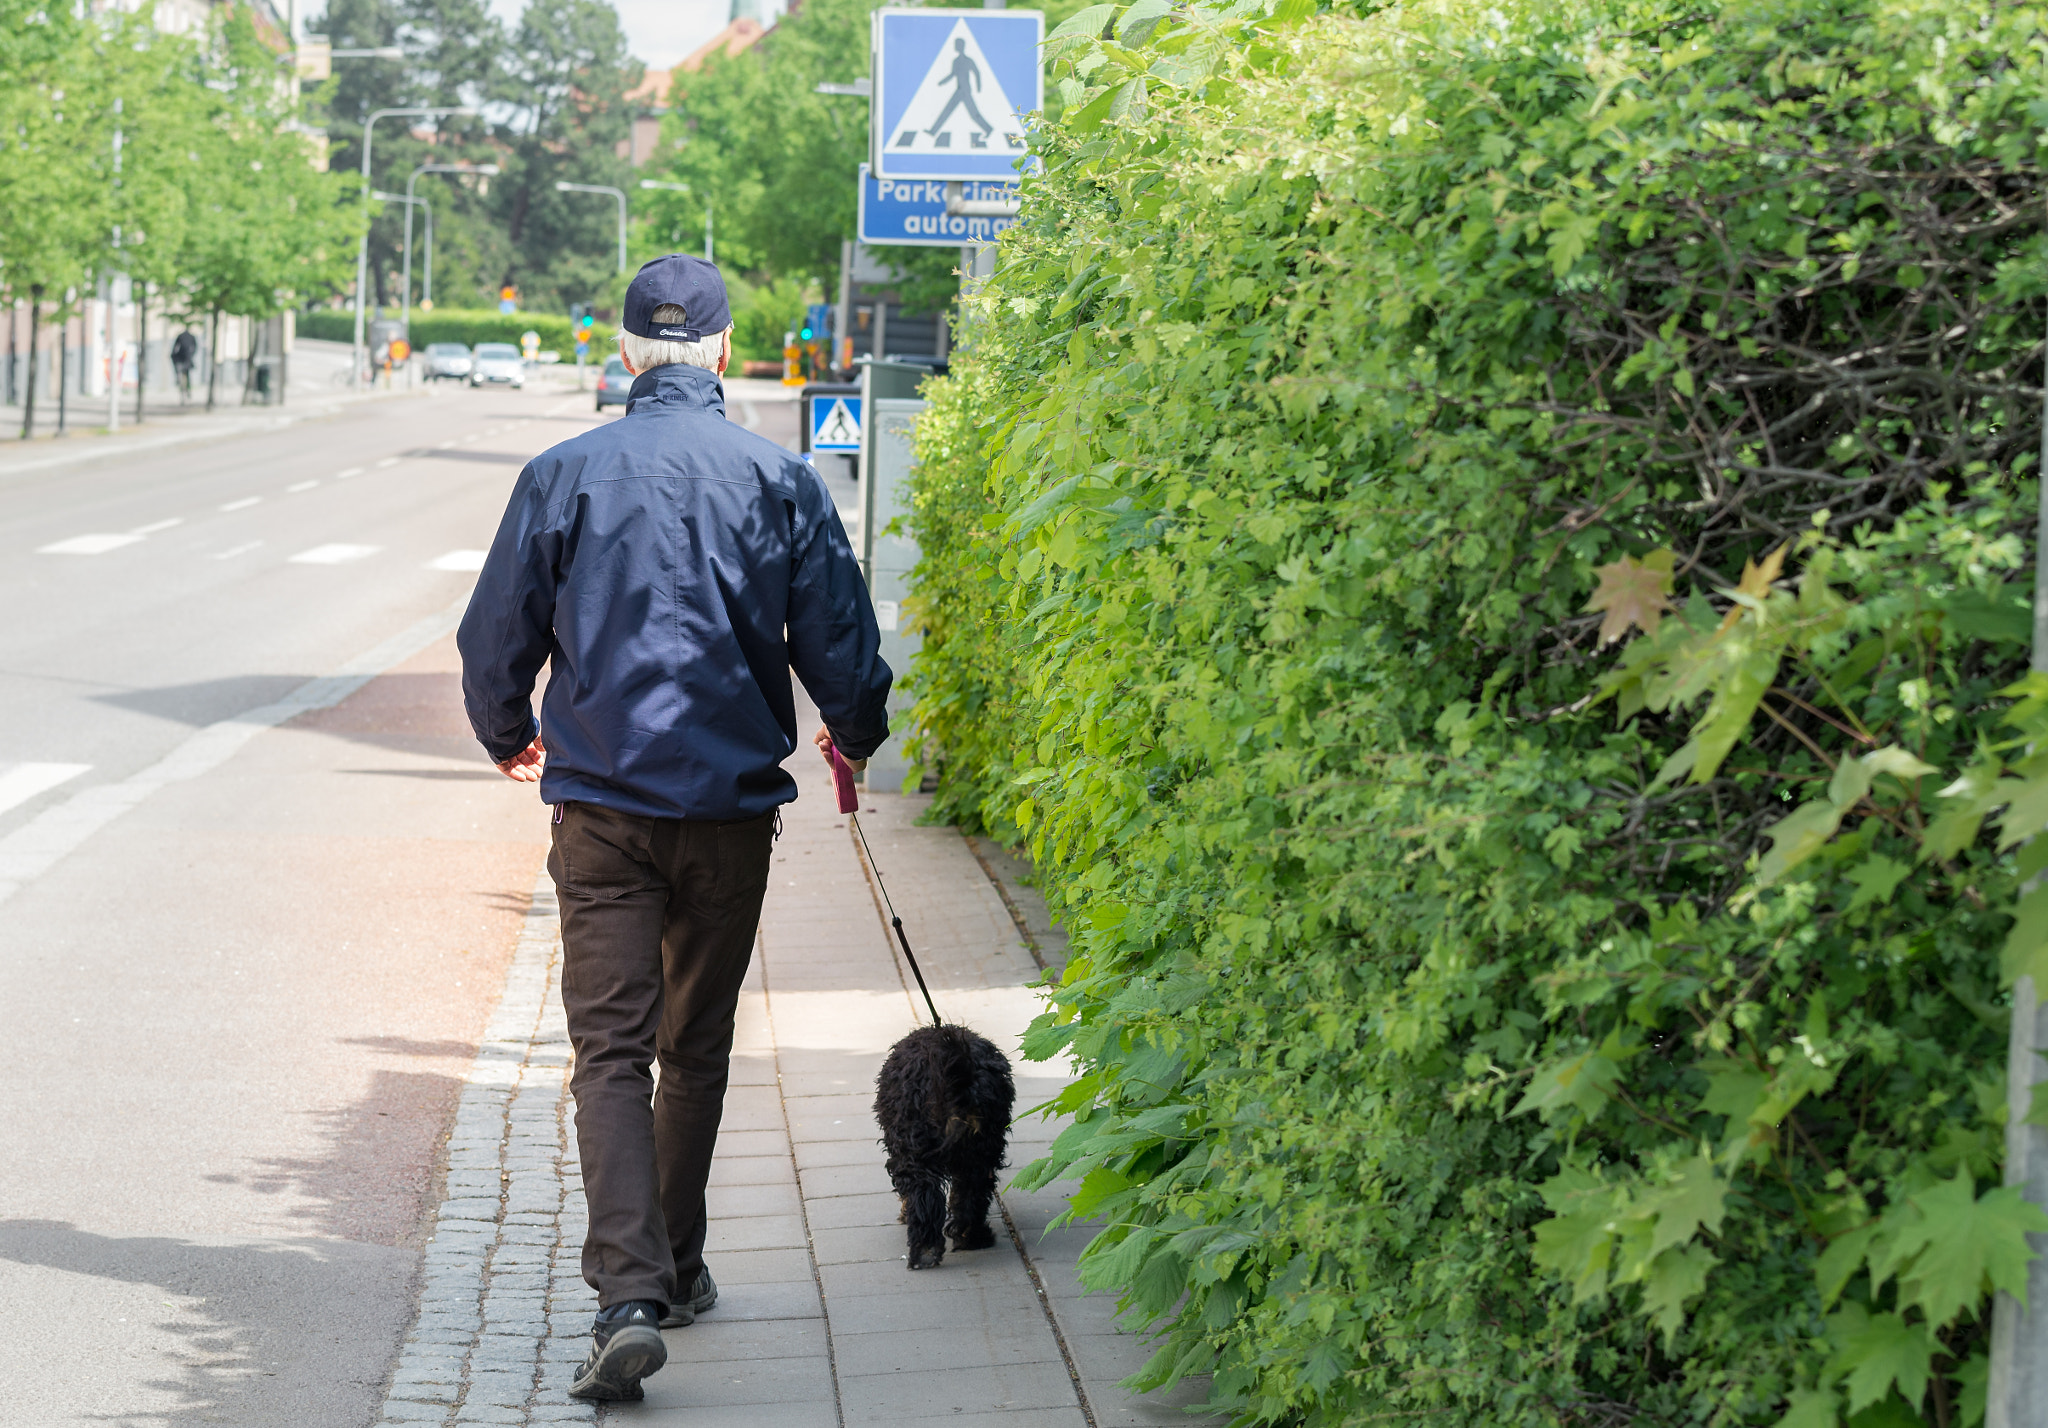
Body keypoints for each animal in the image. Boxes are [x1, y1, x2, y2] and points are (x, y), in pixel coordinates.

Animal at [872, 1024, 1015, 1270]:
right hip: (982, 1150)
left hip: (913, 1149)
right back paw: (968, 1239)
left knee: (923, 1195)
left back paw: (928, 1249)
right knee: (972, 1194)